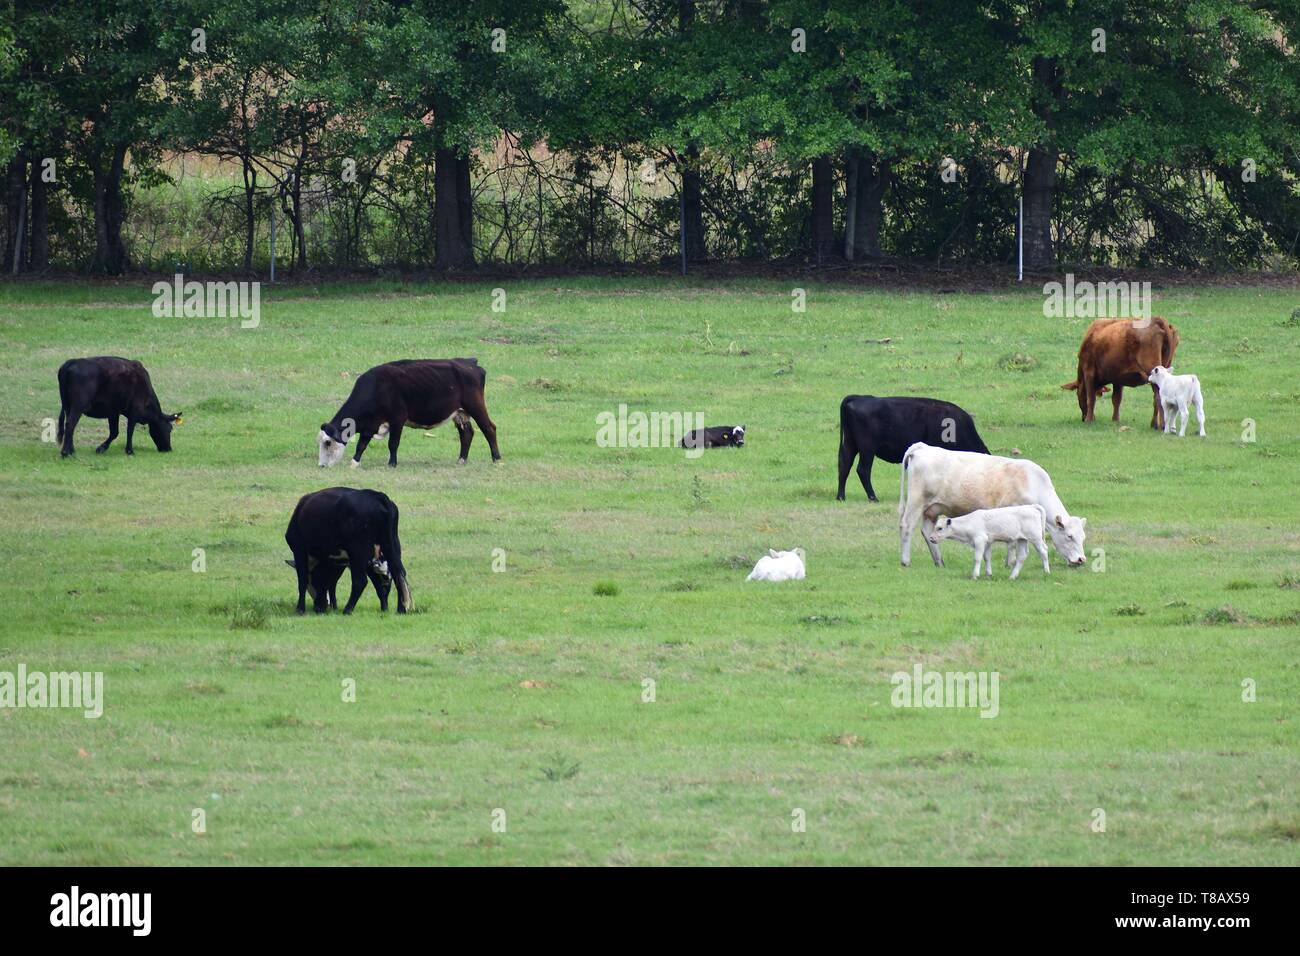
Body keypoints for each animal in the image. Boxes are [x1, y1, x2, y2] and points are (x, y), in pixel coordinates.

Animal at [318, 358, 500, 468]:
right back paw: (461, 460)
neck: (377, 387)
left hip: (476, 406)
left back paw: (497, 459)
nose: (321, 465)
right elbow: (362, 443)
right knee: (467, 433)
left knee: (489, 428)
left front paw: (392, 464)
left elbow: (393, 443)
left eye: (327, 443)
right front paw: (355, 463)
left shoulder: (397, 418)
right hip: (460, 413)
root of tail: (469, 362)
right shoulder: (371, 424)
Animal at [837, 396, 989, 502]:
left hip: (851, 445)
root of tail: (860, 398)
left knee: (844, 466)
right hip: (867, 449)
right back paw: (873, 498)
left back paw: (841, 497)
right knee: (863, 470)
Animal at [898, 442, 1087, 569]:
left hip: (931, 509)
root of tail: (923, 447)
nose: (1081, 560)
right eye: (1069, 536)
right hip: (916, 501)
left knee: (928, 532)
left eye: (1083, 537)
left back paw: (939, 562)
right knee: (907, 526)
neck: (1032, 482)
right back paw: (906, 561)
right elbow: (1012, 542)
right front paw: (1010, 563)